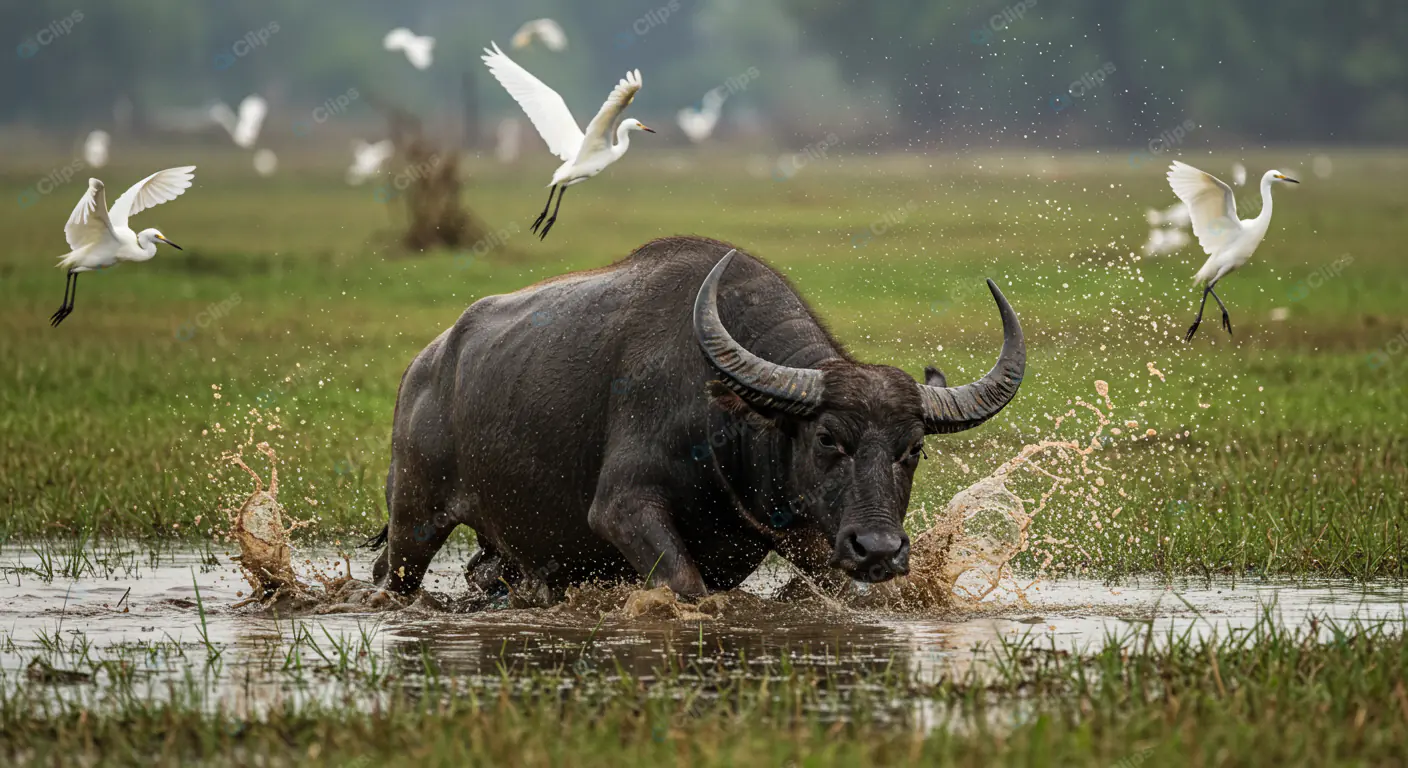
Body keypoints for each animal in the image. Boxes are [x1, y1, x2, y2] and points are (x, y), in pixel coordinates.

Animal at [368, 237, 1024, 599]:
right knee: (392, 573)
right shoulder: (623, 508)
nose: (880, 549)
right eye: (827, 438)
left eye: (913, 448)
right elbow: (686, 587)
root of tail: (425, 366)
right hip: (415, 516)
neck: (722, 421)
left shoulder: (808, 535)